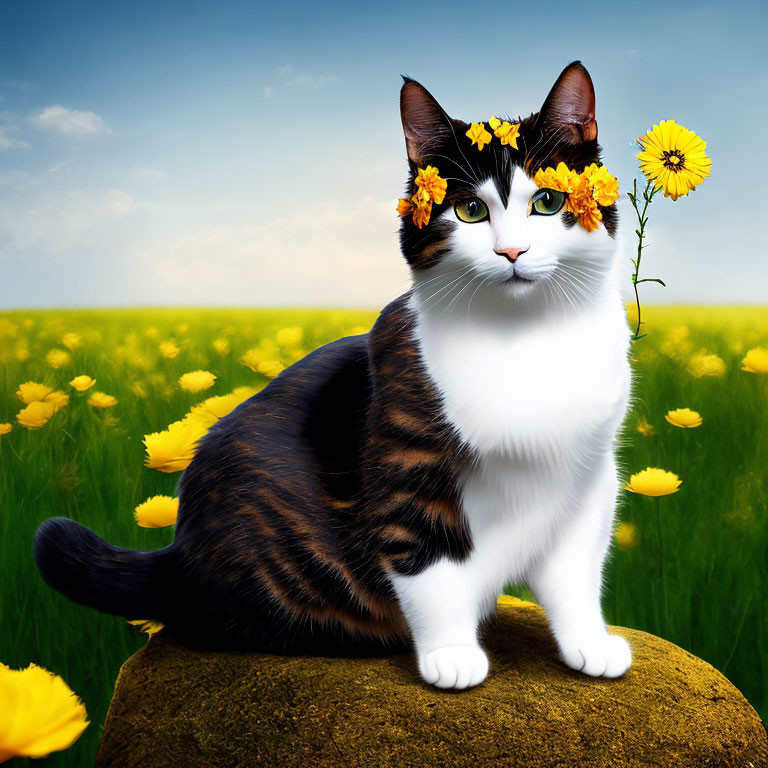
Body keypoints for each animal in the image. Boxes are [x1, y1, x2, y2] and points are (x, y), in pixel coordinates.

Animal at [34, 61, 632, 688]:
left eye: (548, 201)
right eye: (469, 211)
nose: (511, 251)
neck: (525, 341)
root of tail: (178, 555)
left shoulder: (590, 476)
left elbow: (576, 573)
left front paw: (588, 642)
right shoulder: (405, 463)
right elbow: (427, 563)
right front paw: (450, 655)